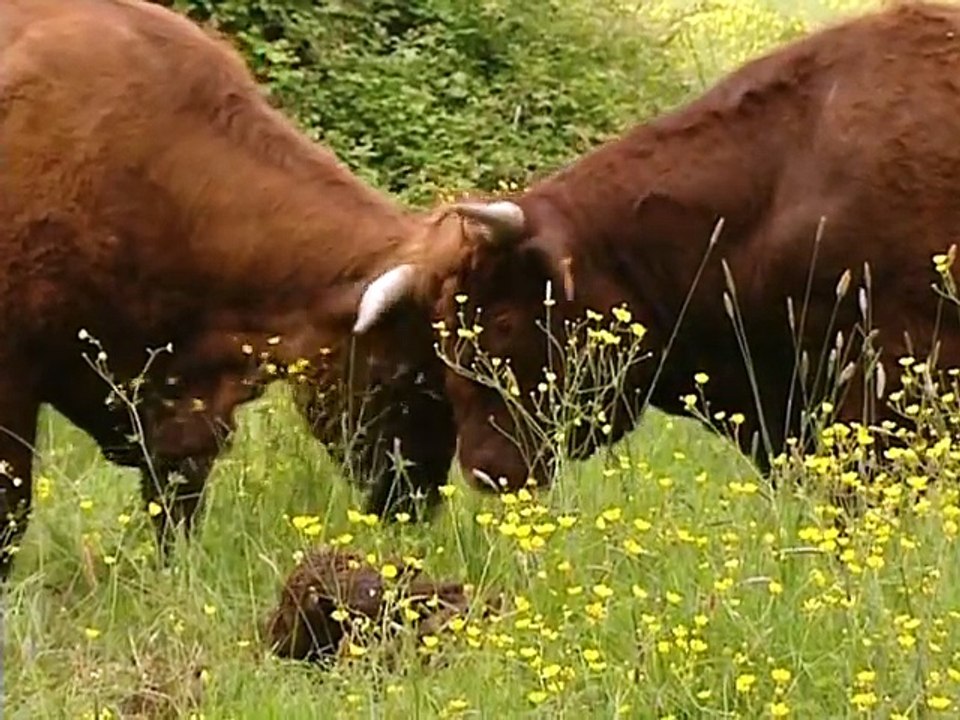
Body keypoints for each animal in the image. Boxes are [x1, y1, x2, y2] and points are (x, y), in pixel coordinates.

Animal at [0, 0, 459, 580]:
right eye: (402, 371)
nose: (417, 497)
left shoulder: (184, 411)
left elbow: (175, 510)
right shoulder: (13, 380)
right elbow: (13, 511)